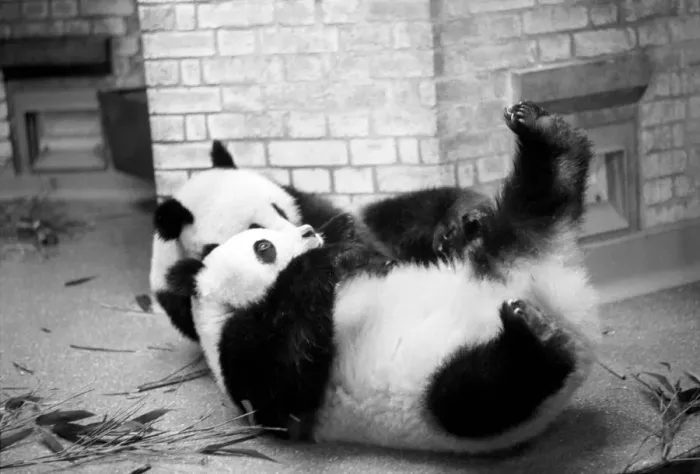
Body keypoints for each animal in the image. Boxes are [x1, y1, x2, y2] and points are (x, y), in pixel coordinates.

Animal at [150, 140, 489, 341]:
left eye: (279, 209)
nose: (308, 233)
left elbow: (355, 227)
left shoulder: (306, 204)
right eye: (254, 228)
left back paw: (462, 224)